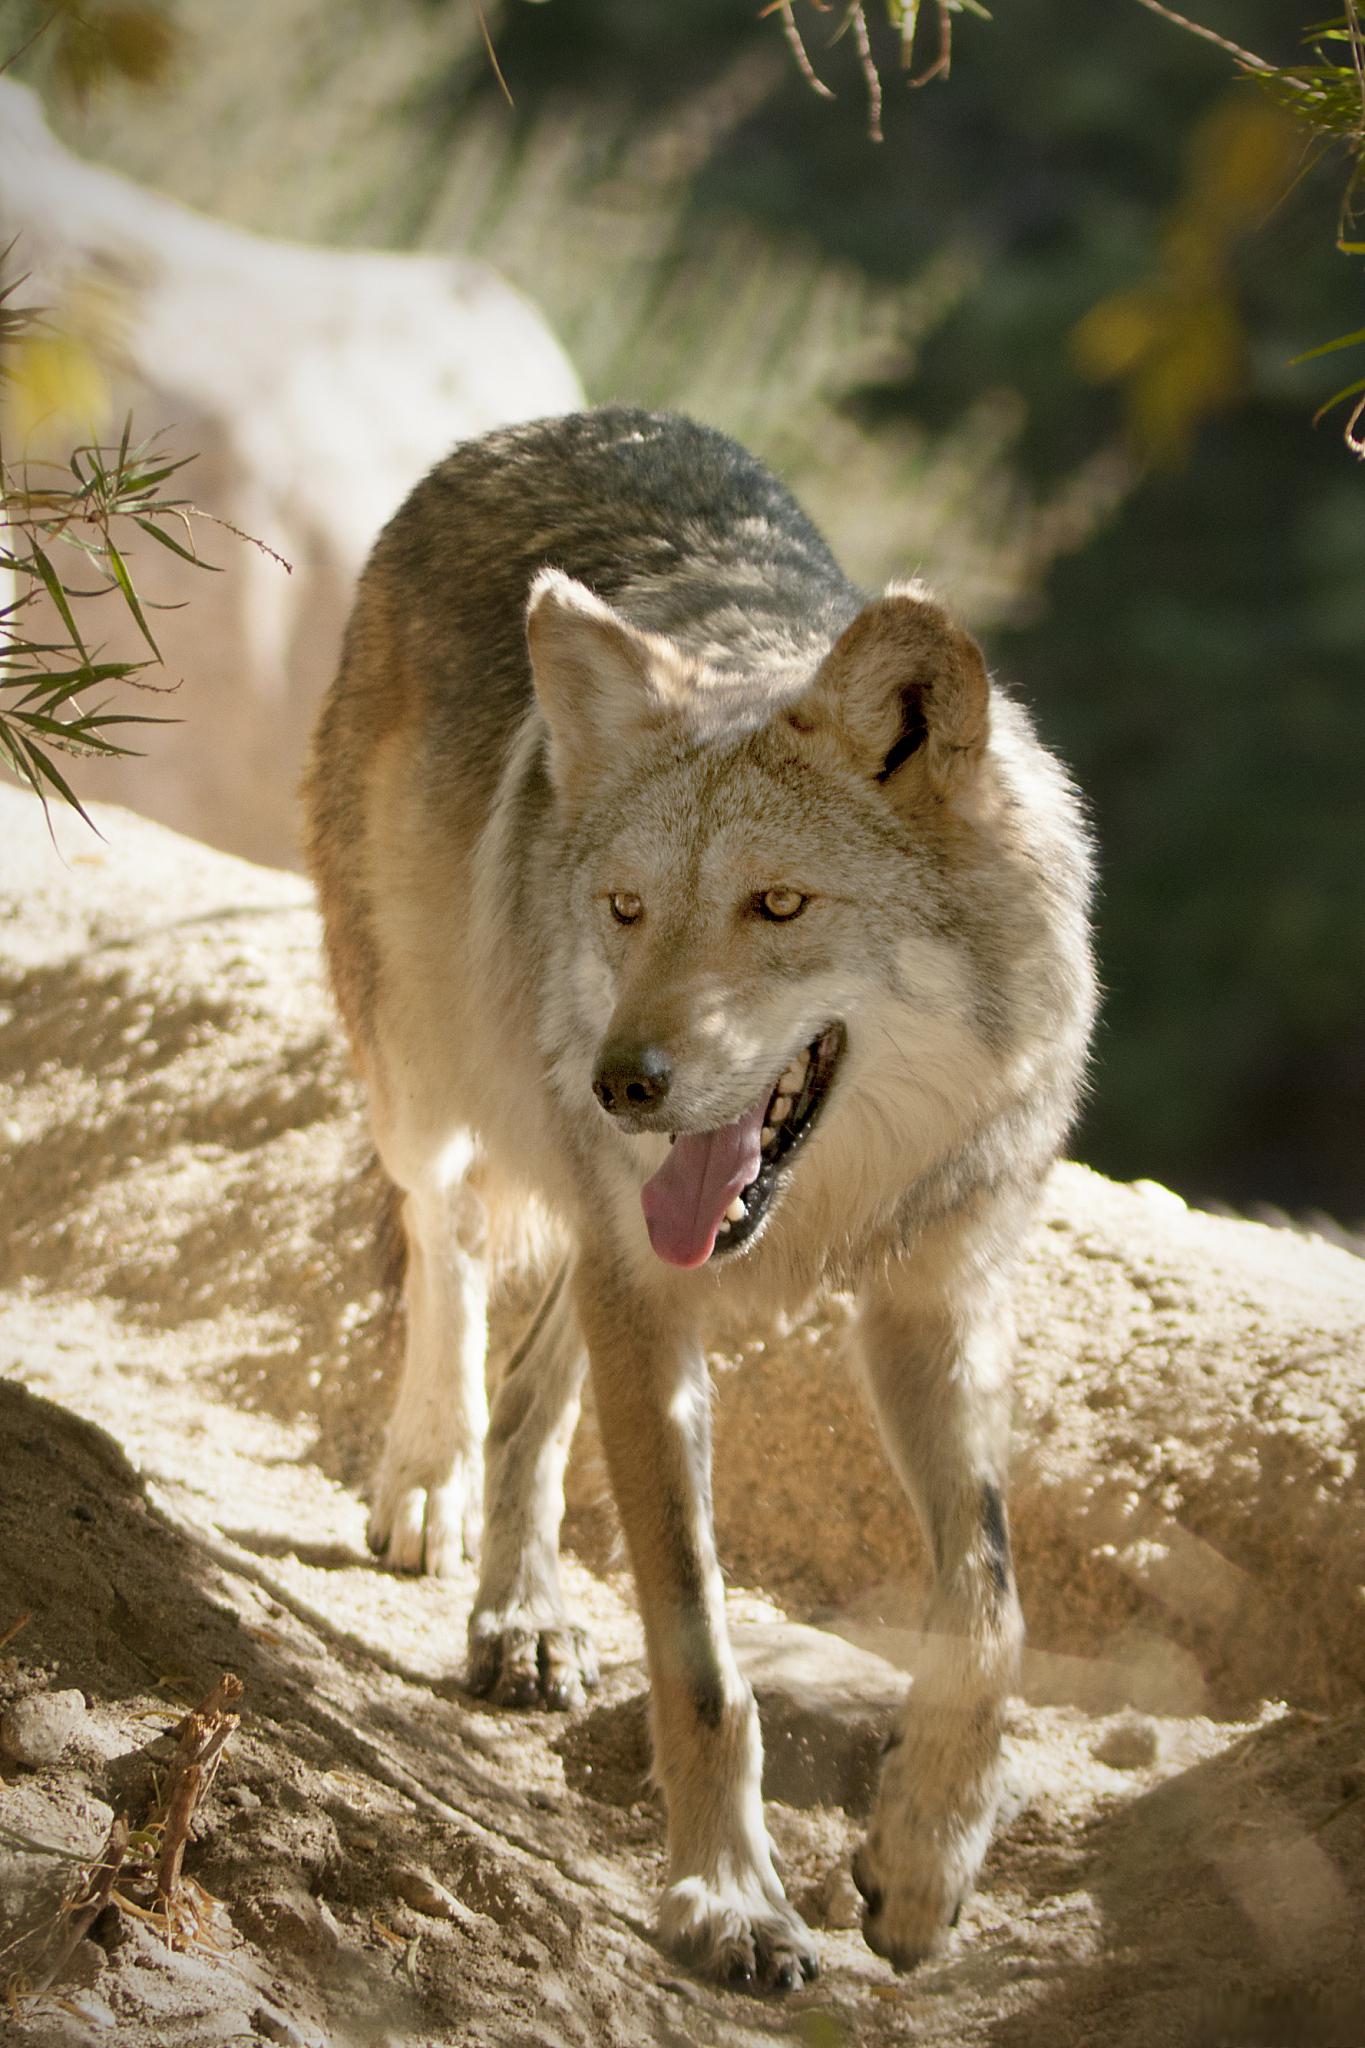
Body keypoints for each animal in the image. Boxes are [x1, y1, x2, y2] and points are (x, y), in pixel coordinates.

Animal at [300, 407, 1096, 1990]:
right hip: (427, 1076)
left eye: (776, 905)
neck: (828, 1200)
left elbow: (990, 1607)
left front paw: (924, 1861)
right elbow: (704, 1659)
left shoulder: (932, 1300)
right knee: (447, 1251)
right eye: (624, 909)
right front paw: (730, 1898)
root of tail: (535, 426)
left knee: (536, 1376)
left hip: (598, 1224)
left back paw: (524, 1616)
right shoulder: (656, 1305)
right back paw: (426, 1481)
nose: (623, 1083)